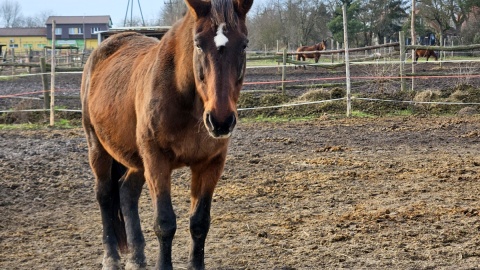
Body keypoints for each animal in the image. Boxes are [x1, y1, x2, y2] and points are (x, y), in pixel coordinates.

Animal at [81, 0, 255, 268]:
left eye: (244, 43)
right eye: (198, 43)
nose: (221, 120)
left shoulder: (210, 164)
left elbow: (199, 223)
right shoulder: (157, 161)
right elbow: (165, 223)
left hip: (137, 160)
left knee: (127, 192)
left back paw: (137, 257)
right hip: (98, 148)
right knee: (105, 195)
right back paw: (111, 257)